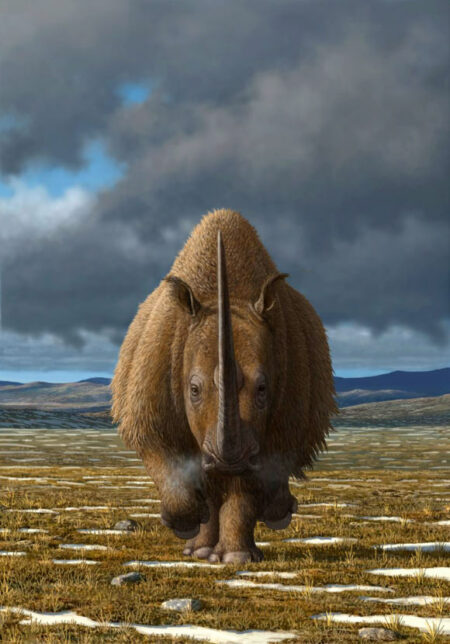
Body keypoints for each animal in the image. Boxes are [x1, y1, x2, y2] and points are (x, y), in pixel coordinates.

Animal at [112, 209, 338, 563]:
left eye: (263, 389)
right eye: (193, 389)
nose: (226, 460)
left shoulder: (281, 426)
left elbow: (247, 491)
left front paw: (238, 559)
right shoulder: (148, 409)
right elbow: (169, 463)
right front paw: (186, 524)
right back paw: (198, 549)